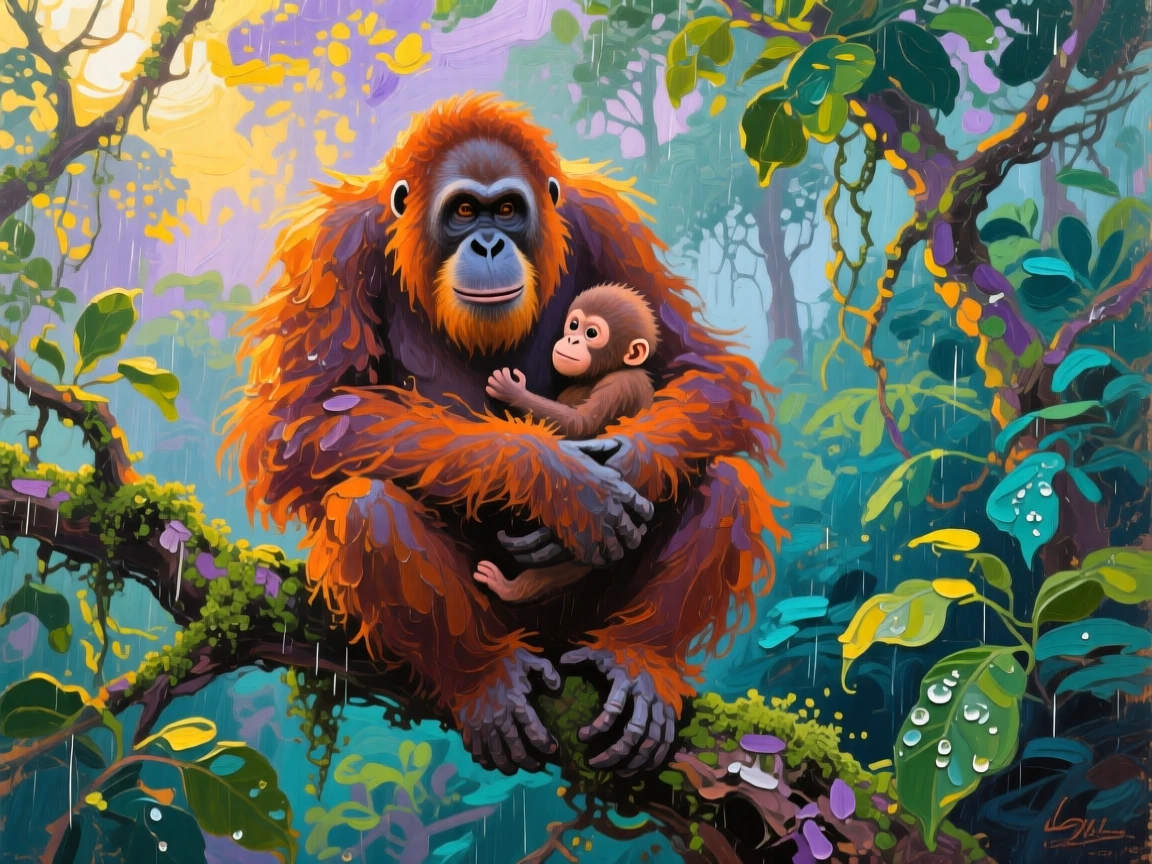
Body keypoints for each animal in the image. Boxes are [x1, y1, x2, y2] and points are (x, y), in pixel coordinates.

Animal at [474, 283, 659, 603]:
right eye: (574, 325)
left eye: (591, 333)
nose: (571, 338)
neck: (609, 369)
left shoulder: (620, 387)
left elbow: (580, 426)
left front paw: (514, 391)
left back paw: (510, 588)